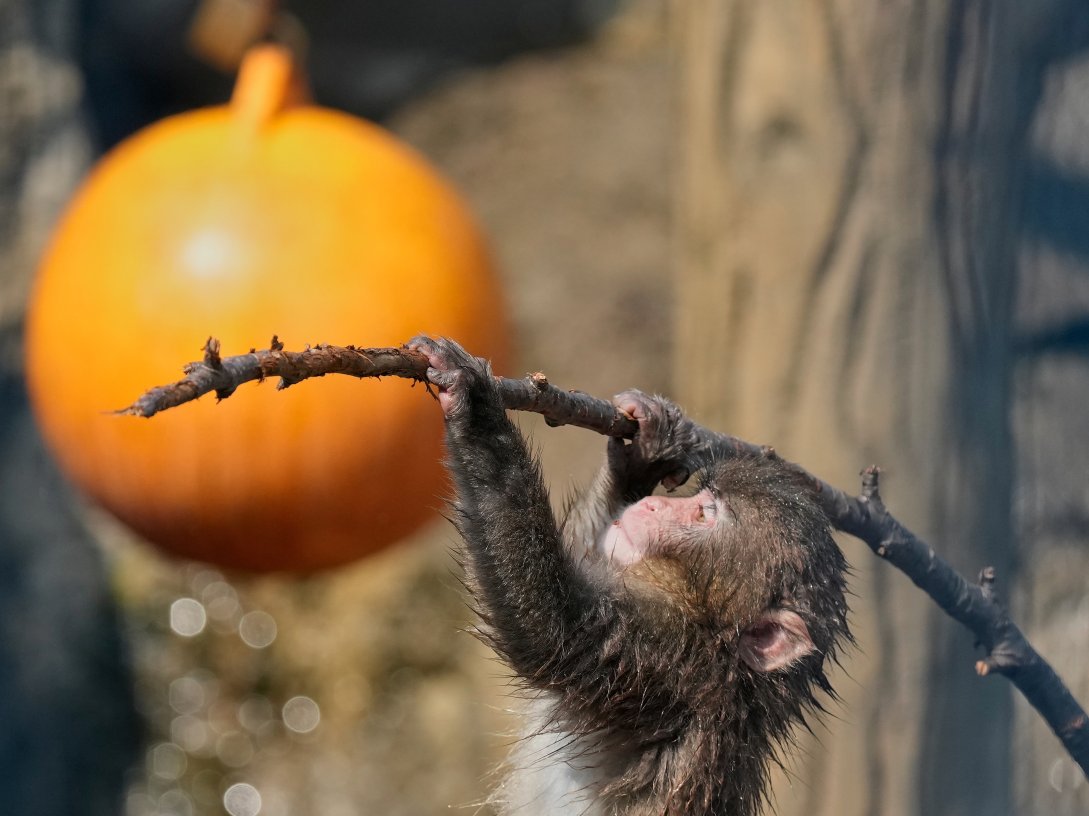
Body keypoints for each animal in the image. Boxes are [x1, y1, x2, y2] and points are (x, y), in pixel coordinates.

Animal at [407, 336, 850, 816]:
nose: (655, 504)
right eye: (703, 497)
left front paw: (474, 400)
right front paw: (644, 455)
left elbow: (551, 627)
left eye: (706, 514)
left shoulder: (666, 661)